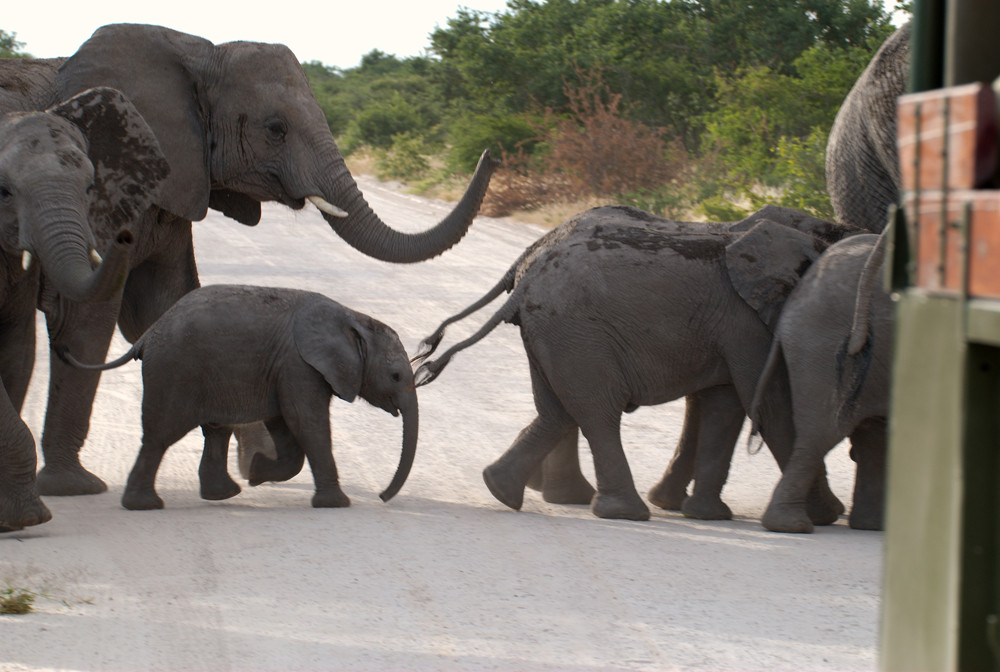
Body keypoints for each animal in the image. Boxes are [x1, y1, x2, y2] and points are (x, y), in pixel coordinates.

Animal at [0, 89, 169, 532]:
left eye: (91, 187)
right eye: (3, 191)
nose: (124, 236)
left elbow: (17, 354)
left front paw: (17, 519)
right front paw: (28, 518)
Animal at [55, 284, 418, 510]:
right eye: (396, 376)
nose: (382, 497)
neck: (353, 317)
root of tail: (146, 336)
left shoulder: (284, 368)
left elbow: (286, 427)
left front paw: (256, 473)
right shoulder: (298, 365)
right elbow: (307, 423)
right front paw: (336, 504)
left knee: (215, 430)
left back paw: (223, 494)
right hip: (174, 371)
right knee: (160, 435)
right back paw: (145, 506)